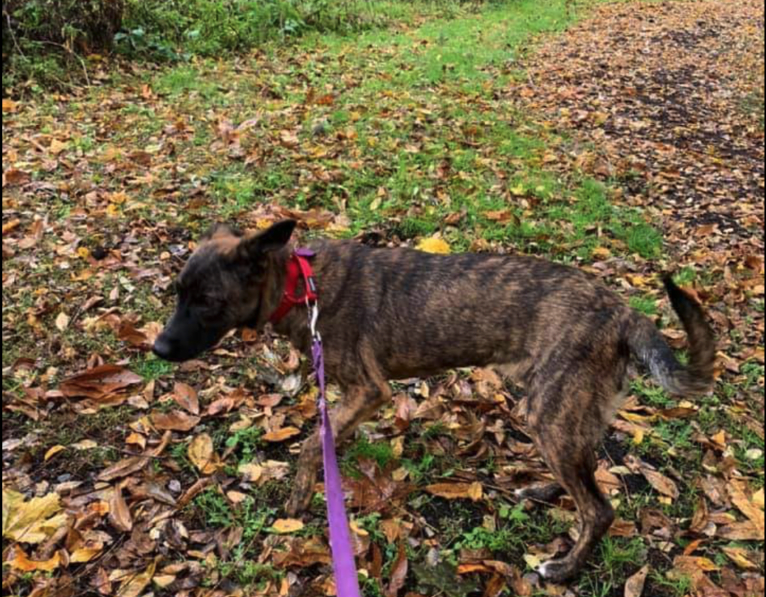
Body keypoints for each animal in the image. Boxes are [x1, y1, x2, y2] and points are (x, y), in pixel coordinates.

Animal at [153, 220, 716, 584]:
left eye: (207, 302)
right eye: (177, 292)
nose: (156, 349)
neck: (301, 285)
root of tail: (624, 313)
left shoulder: (368, 390)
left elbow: (314, 444)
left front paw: (299, 499)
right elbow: (331, 436)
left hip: (553, 409)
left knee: (598, 509)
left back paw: (562, 568)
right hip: (558, 410)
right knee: (584, 477)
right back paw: (540, 490)